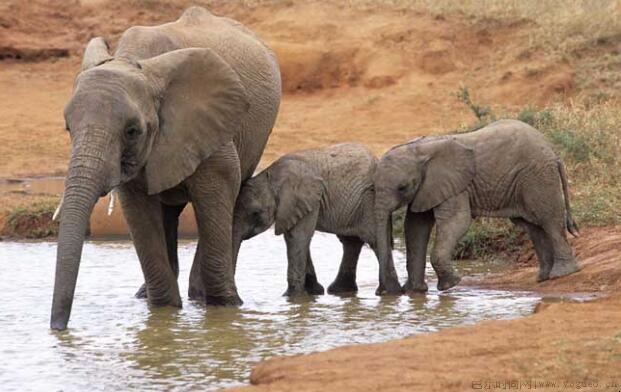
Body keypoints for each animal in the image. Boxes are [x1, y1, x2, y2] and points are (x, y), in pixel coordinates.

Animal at [50, 7, 280, 330]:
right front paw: (164, 311)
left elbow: (218, 190)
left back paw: (200, 295)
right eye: (68, 128)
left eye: (132, 131)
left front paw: (225, 309)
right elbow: (139, 212)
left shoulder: (210, 125)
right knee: (168, 213)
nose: (58, 329)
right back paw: (144, 296)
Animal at [232, 142, 402, 296]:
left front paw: (292, 297)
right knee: (351, 242)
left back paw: (390, 292)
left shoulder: (307, 199)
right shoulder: (293, 207)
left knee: (375, 240)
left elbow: (297, 237)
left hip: (368, 201)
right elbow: (293, 238)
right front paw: (313, 293)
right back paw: (341, 291)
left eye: (255, 213)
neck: (271, 175)